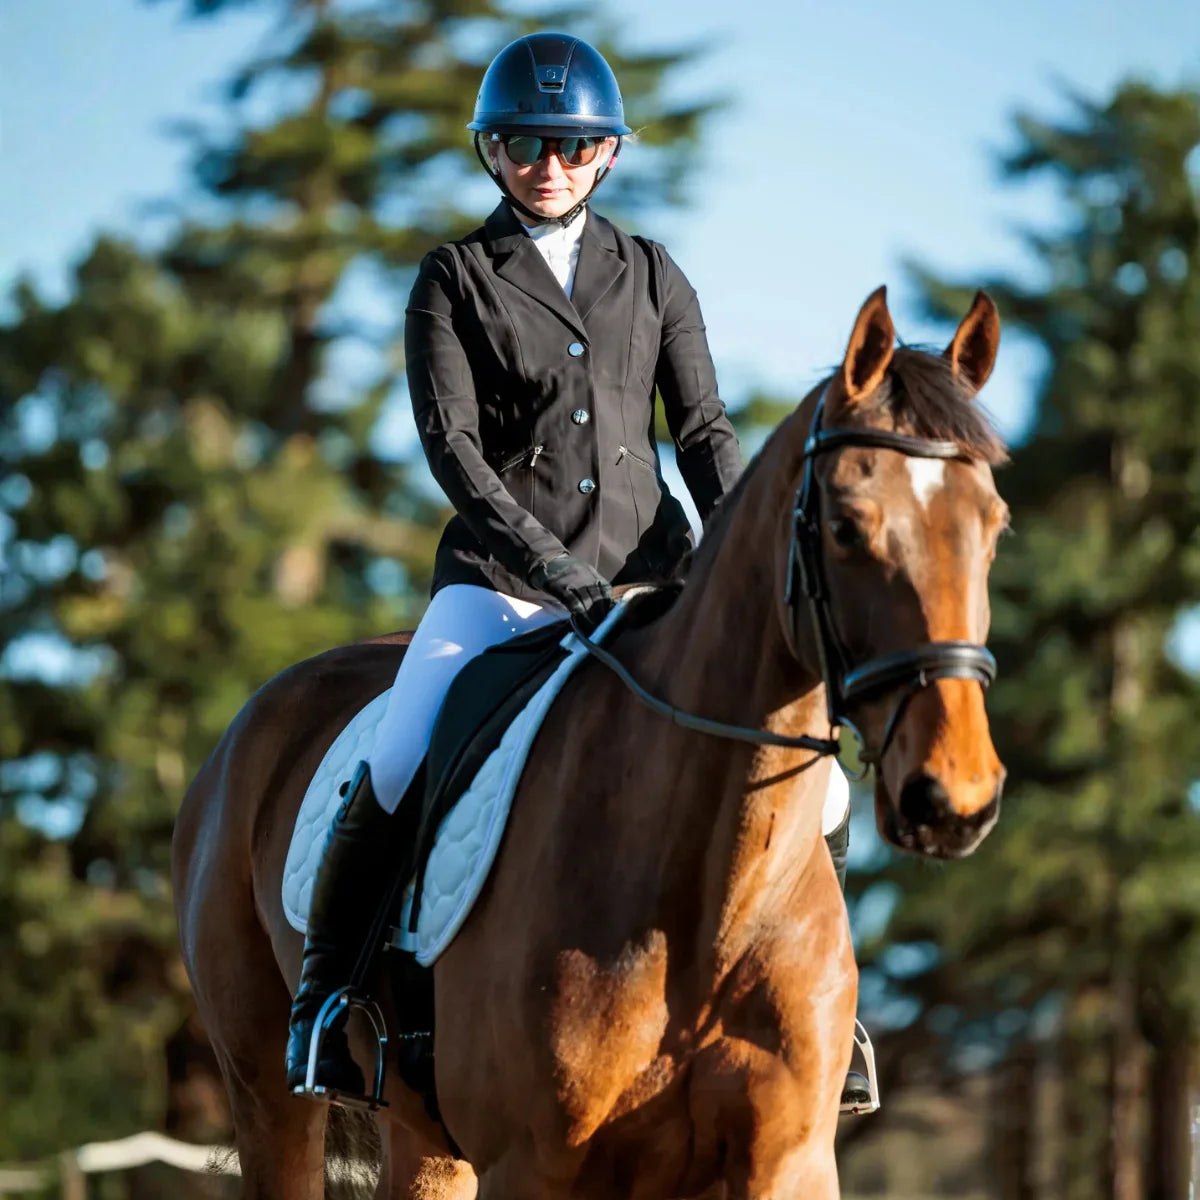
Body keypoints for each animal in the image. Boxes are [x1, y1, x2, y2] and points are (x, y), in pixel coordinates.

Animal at [172, 285, 1010, 1199]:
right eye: (849, 526)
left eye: (994, 524)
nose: (953, 798)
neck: (709, 902)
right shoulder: (533, 1164)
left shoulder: (788, 1162)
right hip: (265, 1086)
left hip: (421, 1132)